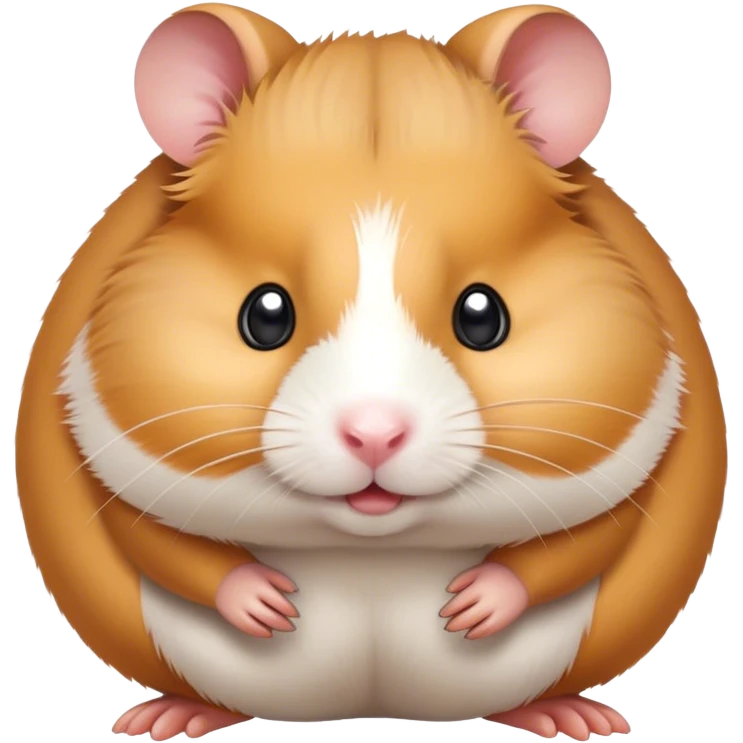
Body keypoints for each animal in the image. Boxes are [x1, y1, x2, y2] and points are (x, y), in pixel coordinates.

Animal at [15, 2, 727, 739]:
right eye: (264, 314)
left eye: (483, 315)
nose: (375, 435)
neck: (373, 548)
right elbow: (152, 536)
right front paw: (270, 606)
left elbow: (587, 539)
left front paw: (469, 608)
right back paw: (167, 716)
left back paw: (572, 715)